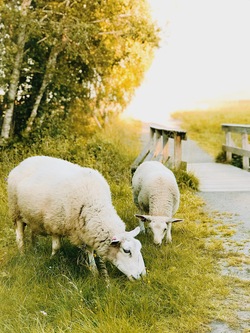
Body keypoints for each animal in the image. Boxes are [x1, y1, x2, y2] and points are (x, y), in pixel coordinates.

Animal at [7, 154, 146, 278]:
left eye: (140, 248)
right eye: (127, 251)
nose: (142, 276)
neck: (94, 204)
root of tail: (24, 161)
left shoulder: (87, 230)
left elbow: (90, 250)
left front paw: (94, 271)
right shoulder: (54, 224)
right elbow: (56, 247)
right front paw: (52, 260)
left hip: (32, 216)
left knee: (33, 233)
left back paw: (35, 249)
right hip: (16, 211)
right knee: (19, 236)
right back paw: (22, 253)